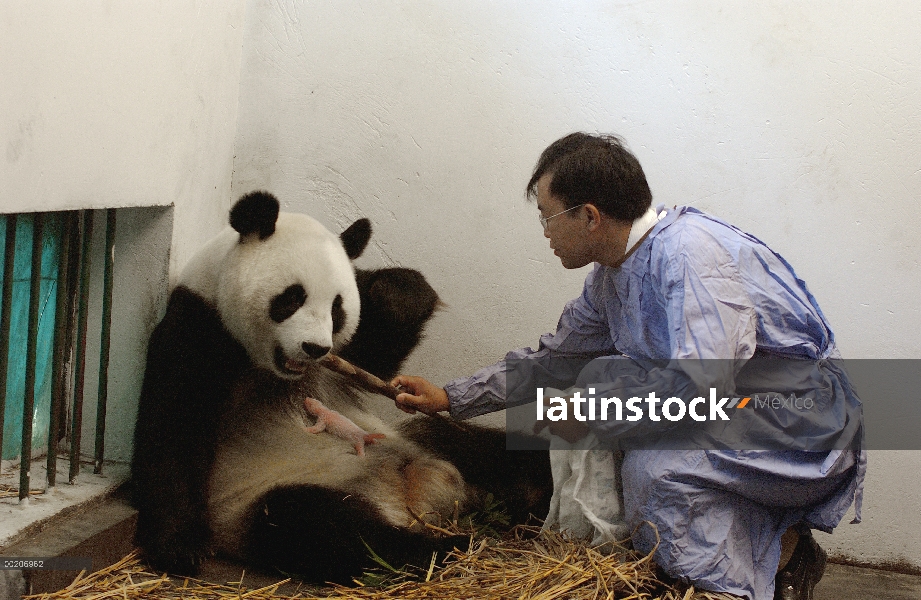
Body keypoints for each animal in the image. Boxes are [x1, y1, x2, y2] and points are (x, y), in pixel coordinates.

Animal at [128, 193, 548, 584]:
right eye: (291, 298)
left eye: (337, 308)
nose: (314, 348)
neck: (272, 367)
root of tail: (414, 498)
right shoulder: (199, 325)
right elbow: (175, 423)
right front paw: (180, 547)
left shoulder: (342, 354)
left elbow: (375, 353)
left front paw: (403, 292)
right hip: (254, 500)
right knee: (316, 525)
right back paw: (441, 547)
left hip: (419, 441)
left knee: (483, 450)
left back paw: (535, 495)